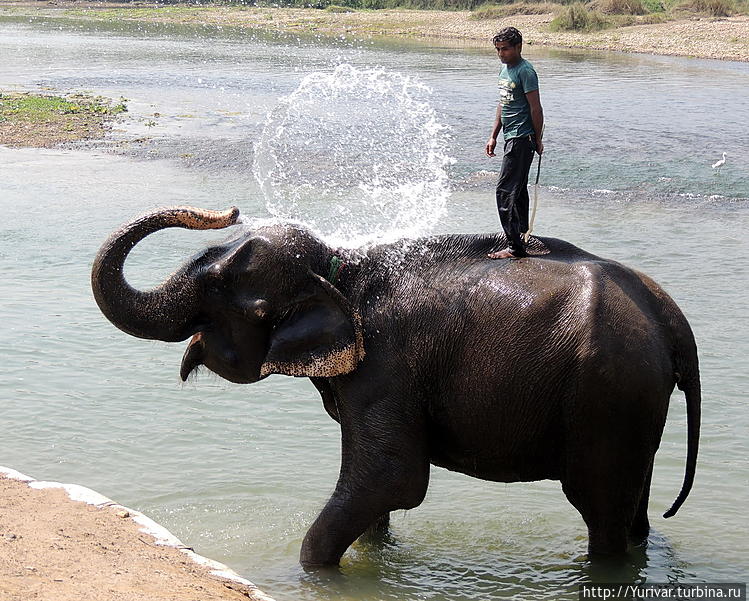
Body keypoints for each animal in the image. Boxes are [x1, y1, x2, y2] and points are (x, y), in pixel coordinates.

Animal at [90, 205, 700, 568]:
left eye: (222, 290)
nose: (226, 211)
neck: (340, 266)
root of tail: (672, 319)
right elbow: (373, 485)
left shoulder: (387, 366)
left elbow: (392, 477)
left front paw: (313, 570)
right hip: (632, 402)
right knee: (633, 506)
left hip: (607, 396)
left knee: (600, 508)